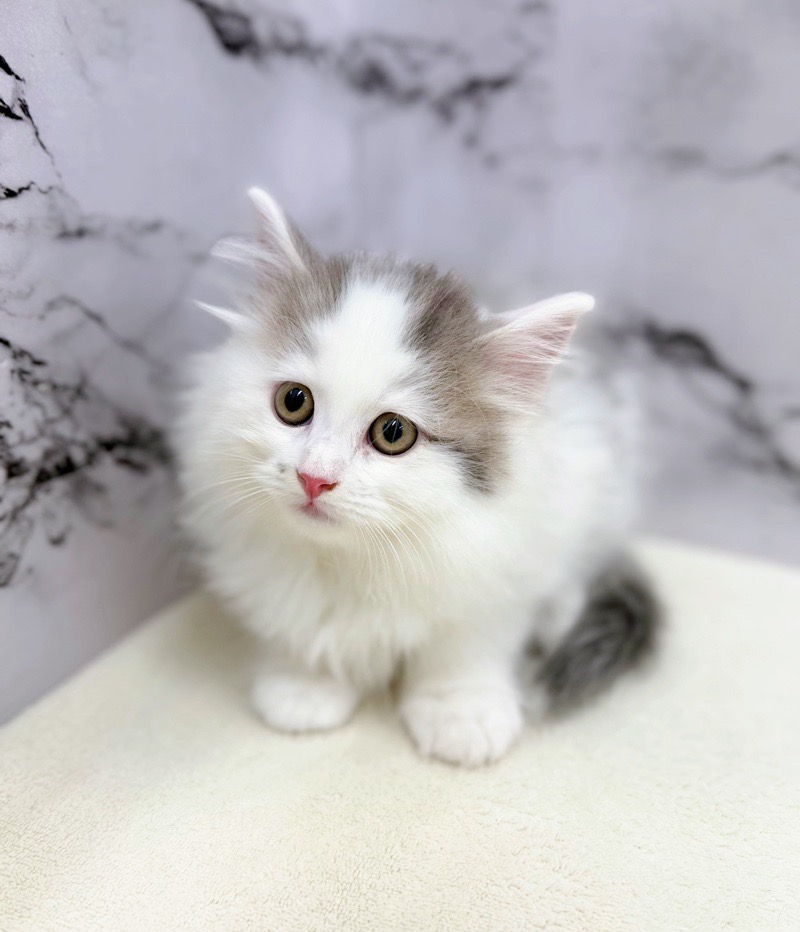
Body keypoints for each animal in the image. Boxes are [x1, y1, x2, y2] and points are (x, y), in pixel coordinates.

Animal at [176, 188, 659, 767]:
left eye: (393, 432)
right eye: (294, 402)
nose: (314, 478)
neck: (351, 561)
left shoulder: (500, 567)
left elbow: (462, 647)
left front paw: (461, 712)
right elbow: (302, 628)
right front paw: (305, 686)